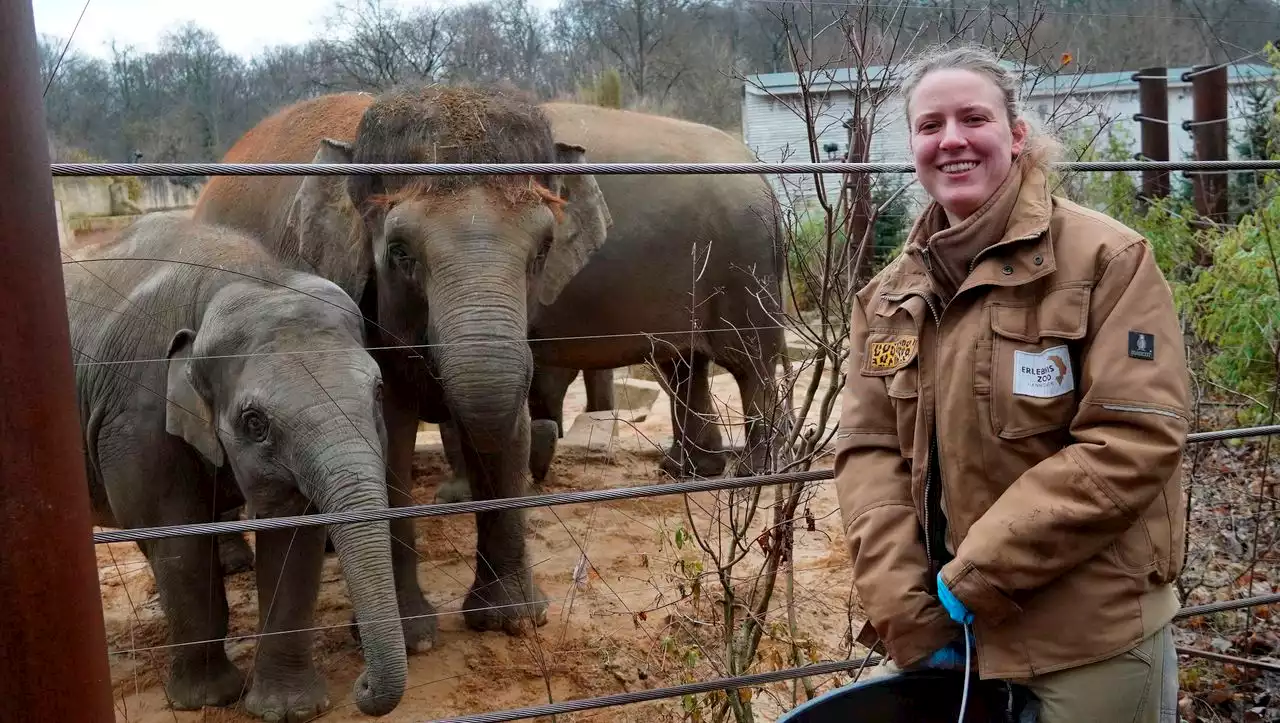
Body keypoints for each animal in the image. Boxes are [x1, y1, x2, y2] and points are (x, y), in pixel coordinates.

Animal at [66, 211, 404, 716]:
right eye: (254, 422)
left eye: (379, 392)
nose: (361, 685)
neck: (245, 275)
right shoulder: (136, 418)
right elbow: (179, 541)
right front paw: (209, 699)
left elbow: (292, 534)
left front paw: (288, 710)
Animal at [190, 83, 614, 647]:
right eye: (399, 252)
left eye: (544, 249)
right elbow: (388, 435)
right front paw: (416, 639)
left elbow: (506, 426)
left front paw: (513, 620)